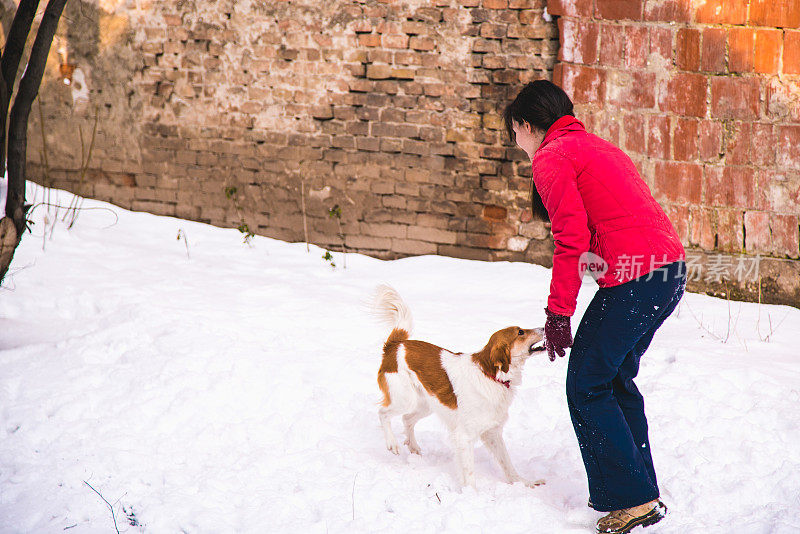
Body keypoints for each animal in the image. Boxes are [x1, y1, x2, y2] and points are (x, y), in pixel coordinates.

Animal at [374, 286, 548, 492]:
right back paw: (392, 443)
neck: (491, 375)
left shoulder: (492, 432)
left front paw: (523, 482)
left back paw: (414, 447)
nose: (544, 327)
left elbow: (507, 463)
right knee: (383, 413)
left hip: (426, 403)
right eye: (520, 332)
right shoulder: (464, 436)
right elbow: (470, 472)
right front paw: (471, 494)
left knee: (407, 419)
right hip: (405, 399)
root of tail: (395, 345)